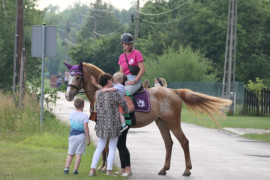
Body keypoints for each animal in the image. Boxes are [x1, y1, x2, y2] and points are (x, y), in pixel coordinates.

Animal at [64, 62, 231, 176]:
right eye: (68, 76)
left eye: (77, 76)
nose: (68, 95)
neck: (102, 90)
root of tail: (173, 91)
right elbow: (105, 147)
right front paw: (102, 167)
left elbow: (106, 147)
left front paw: (104, 167)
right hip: (161, 123)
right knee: (169, 143)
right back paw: (164, 169)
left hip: (173, 122)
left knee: (184, 142)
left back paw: (187, 170)